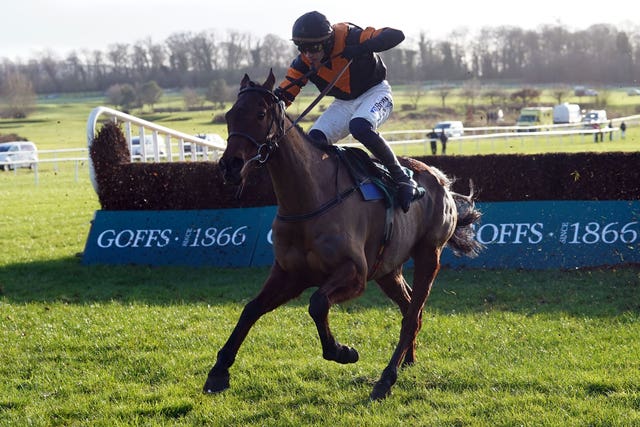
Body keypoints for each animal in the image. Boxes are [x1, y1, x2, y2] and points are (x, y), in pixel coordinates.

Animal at [202, 70, 482, 402]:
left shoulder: (354, 274)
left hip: (429, 254)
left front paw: (342, 351)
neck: (308, 199)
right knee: (409, 307)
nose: (230, 167)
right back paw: (408, 360)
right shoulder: (288, 274)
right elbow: (250, 310)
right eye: (231, 115)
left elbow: (317, 303)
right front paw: (218, 371)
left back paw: (386, 379)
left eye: (260, 114)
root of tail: (441, 180)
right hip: (388, 269)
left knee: (412, 315)